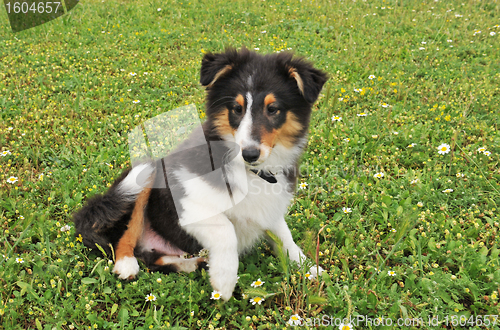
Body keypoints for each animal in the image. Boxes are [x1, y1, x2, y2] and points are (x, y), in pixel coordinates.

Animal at [72, 47, 326, 302]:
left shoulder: (270, 205)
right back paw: (126, 264)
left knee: (154, 260)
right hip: (144, 173)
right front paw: (224, 280)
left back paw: (193, 263)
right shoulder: (186, 197)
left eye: (272, 109)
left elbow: (285, 236)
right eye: (237, 109)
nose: (250, 154)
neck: (250, 171)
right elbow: (225, 228)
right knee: (125, 235)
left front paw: (309, 268)